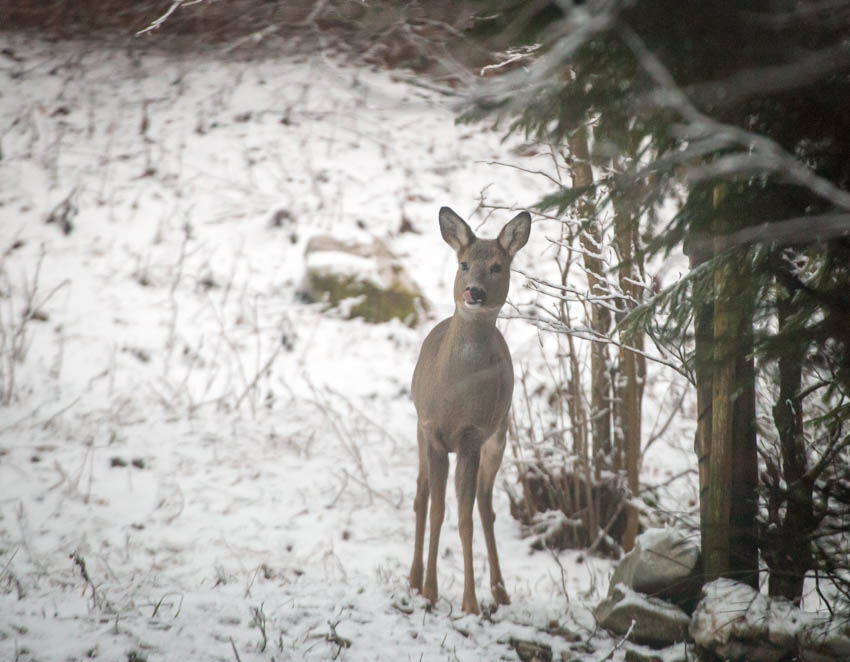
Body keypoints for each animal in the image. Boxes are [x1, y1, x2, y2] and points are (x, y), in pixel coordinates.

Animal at [406, 208, 528, 616]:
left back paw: (501, 591)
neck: (456, 396)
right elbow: (437, 510)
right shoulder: (432, 431)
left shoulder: (473, 438)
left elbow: (464, 518)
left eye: (497, 266)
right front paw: (429, 591)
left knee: (486, 507)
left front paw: (470, 603)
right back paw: (413, 579)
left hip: (499, 436)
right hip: (418, 432)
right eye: (463, 264)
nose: (473, 292)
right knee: (421, 496)